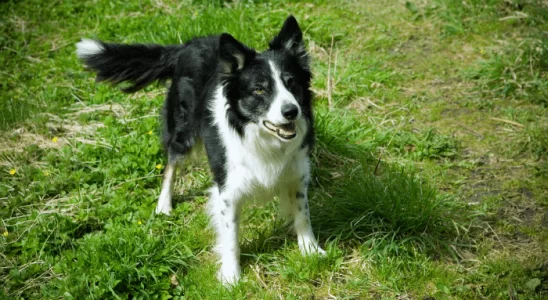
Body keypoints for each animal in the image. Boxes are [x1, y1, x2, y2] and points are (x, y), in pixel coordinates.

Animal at [77, 15, 326, 284]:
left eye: (292, 83)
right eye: (259, 89)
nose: (291, 111)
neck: (259, 136)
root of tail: (186, 46)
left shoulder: (297, 171)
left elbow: (302, 213)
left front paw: (310, 250)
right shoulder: (228, 188)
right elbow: (230, 235)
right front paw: (231, 277)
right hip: (182, 131)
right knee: (170, 165)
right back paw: (164, 205)